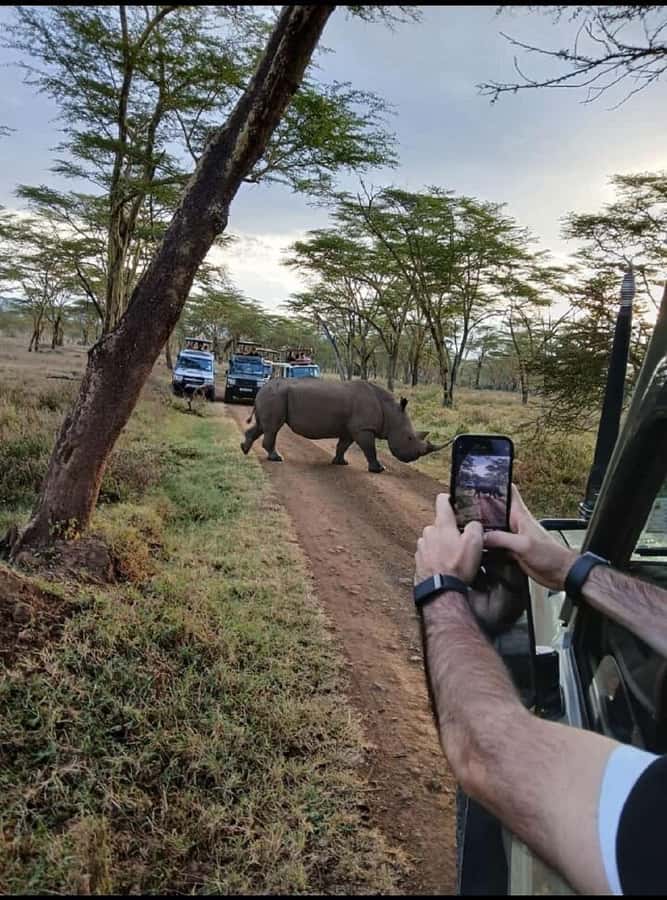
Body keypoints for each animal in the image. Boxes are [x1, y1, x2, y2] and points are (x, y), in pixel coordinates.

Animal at [240, 378, 446, 472]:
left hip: (273, 396)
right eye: (409, 438)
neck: (391, 411)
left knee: (262, 426)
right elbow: (370, 449)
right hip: (275, 397)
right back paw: (276, 458)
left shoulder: (351, 429)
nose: (413, 458)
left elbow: (343, 446)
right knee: (273, 427)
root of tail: (262, 388)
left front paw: (341, 463)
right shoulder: (363, 428)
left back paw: (244, 449)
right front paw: (379, 469)